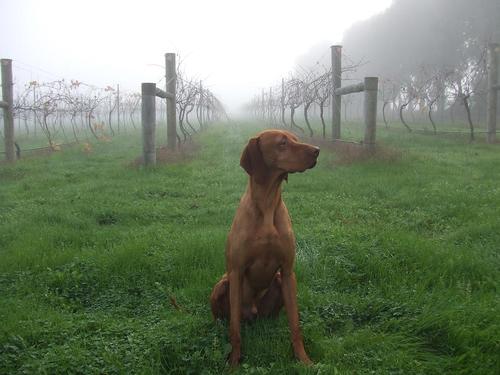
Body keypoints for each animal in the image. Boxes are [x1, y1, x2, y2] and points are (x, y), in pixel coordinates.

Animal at [209, 129, 318, 368]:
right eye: (282, 143)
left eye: (295, 139)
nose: (317, 150)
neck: (267, 204)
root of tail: (253, 313)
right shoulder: (236, 272)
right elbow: (234, 329)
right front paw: (234, 362)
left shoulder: (287, 272)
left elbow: (295, 325)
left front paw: (303, 359)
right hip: (222, 284)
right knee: (224, 319)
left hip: (276, 283)